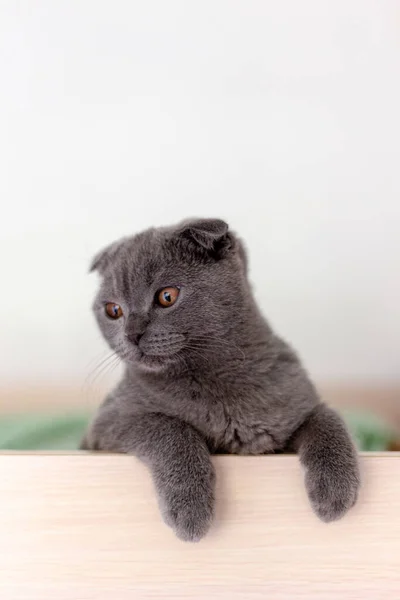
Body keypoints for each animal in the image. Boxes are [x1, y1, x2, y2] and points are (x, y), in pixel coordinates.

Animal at [81, 218, 360, 540]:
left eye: (167, 296)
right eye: (113, 310)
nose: (131, 334)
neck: (215, 380)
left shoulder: (296, 402)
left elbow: (327, 420)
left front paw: (335, 491)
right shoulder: (107, 424)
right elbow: (169, 426)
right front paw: (190, 511)